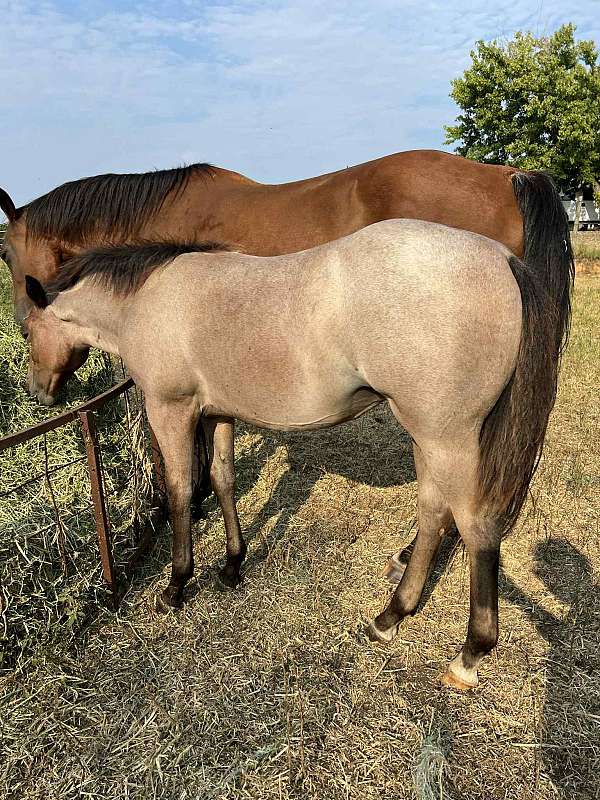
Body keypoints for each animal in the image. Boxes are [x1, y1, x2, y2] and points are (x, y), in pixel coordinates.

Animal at [22, 217, 571, 689]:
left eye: (26, 330)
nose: (38, 394)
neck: (149, 300)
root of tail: (502, 259)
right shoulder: (219, 413)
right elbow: (222, 479)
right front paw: (232, 566)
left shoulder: (171, 409)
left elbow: (180, 492)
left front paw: (176, 587)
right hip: (429, 440)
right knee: (434, 514)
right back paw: (390, 615)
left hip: (447, 439)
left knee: (476, 527)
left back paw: (468, 653)